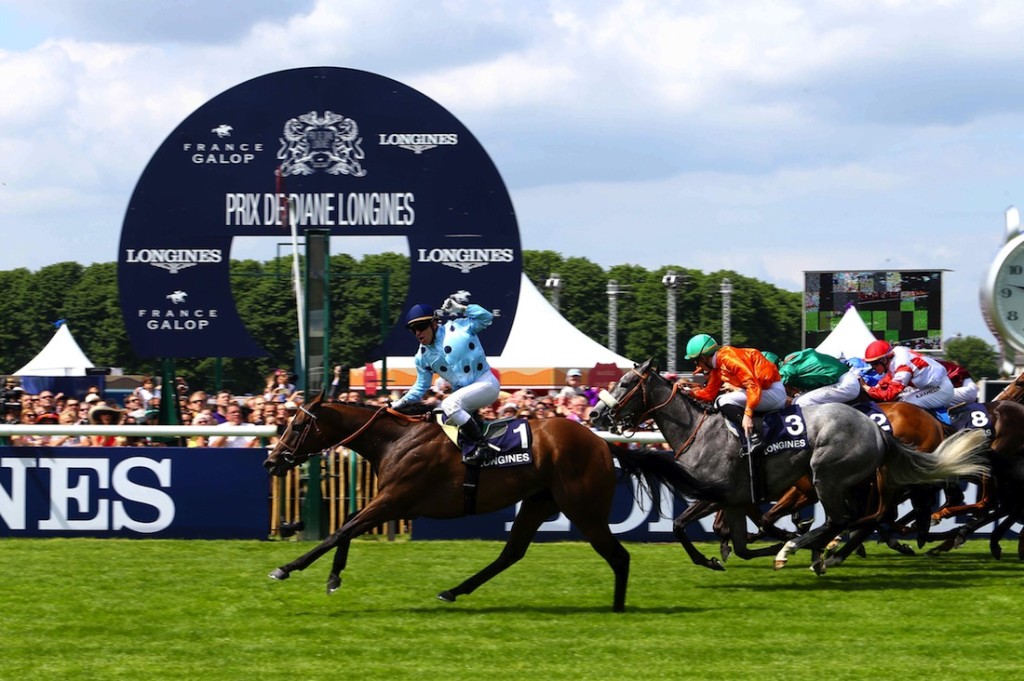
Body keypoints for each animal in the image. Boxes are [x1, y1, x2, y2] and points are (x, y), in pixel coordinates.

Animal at [260, 393, 716, 610]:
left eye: (296, 425)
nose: (271, 460)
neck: (397, 440)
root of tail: (603, 444)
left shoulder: (396, 499)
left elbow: (339, 530)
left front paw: (286, 568)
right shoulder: (397, 503)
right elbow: (349, 525)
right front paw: (333, 578)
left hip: (584, 509)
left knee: (618, 556)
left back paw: (618, 608)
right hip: (538, 503)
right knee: (511, 553)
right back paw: (453, 591)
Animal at [593, 360, 991, 573]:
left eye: (626, 383)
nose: (596, 414)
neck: (699, 430)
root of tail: (876, 430)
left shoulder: (721, 493)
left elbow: (684, 526)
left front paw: (780, 543)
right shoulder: (737, 499)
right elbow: (735, 535)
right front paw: (728, 551)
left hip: (830, 475)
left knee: (851, 518)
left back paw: (814, 550)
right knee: (864, 517)